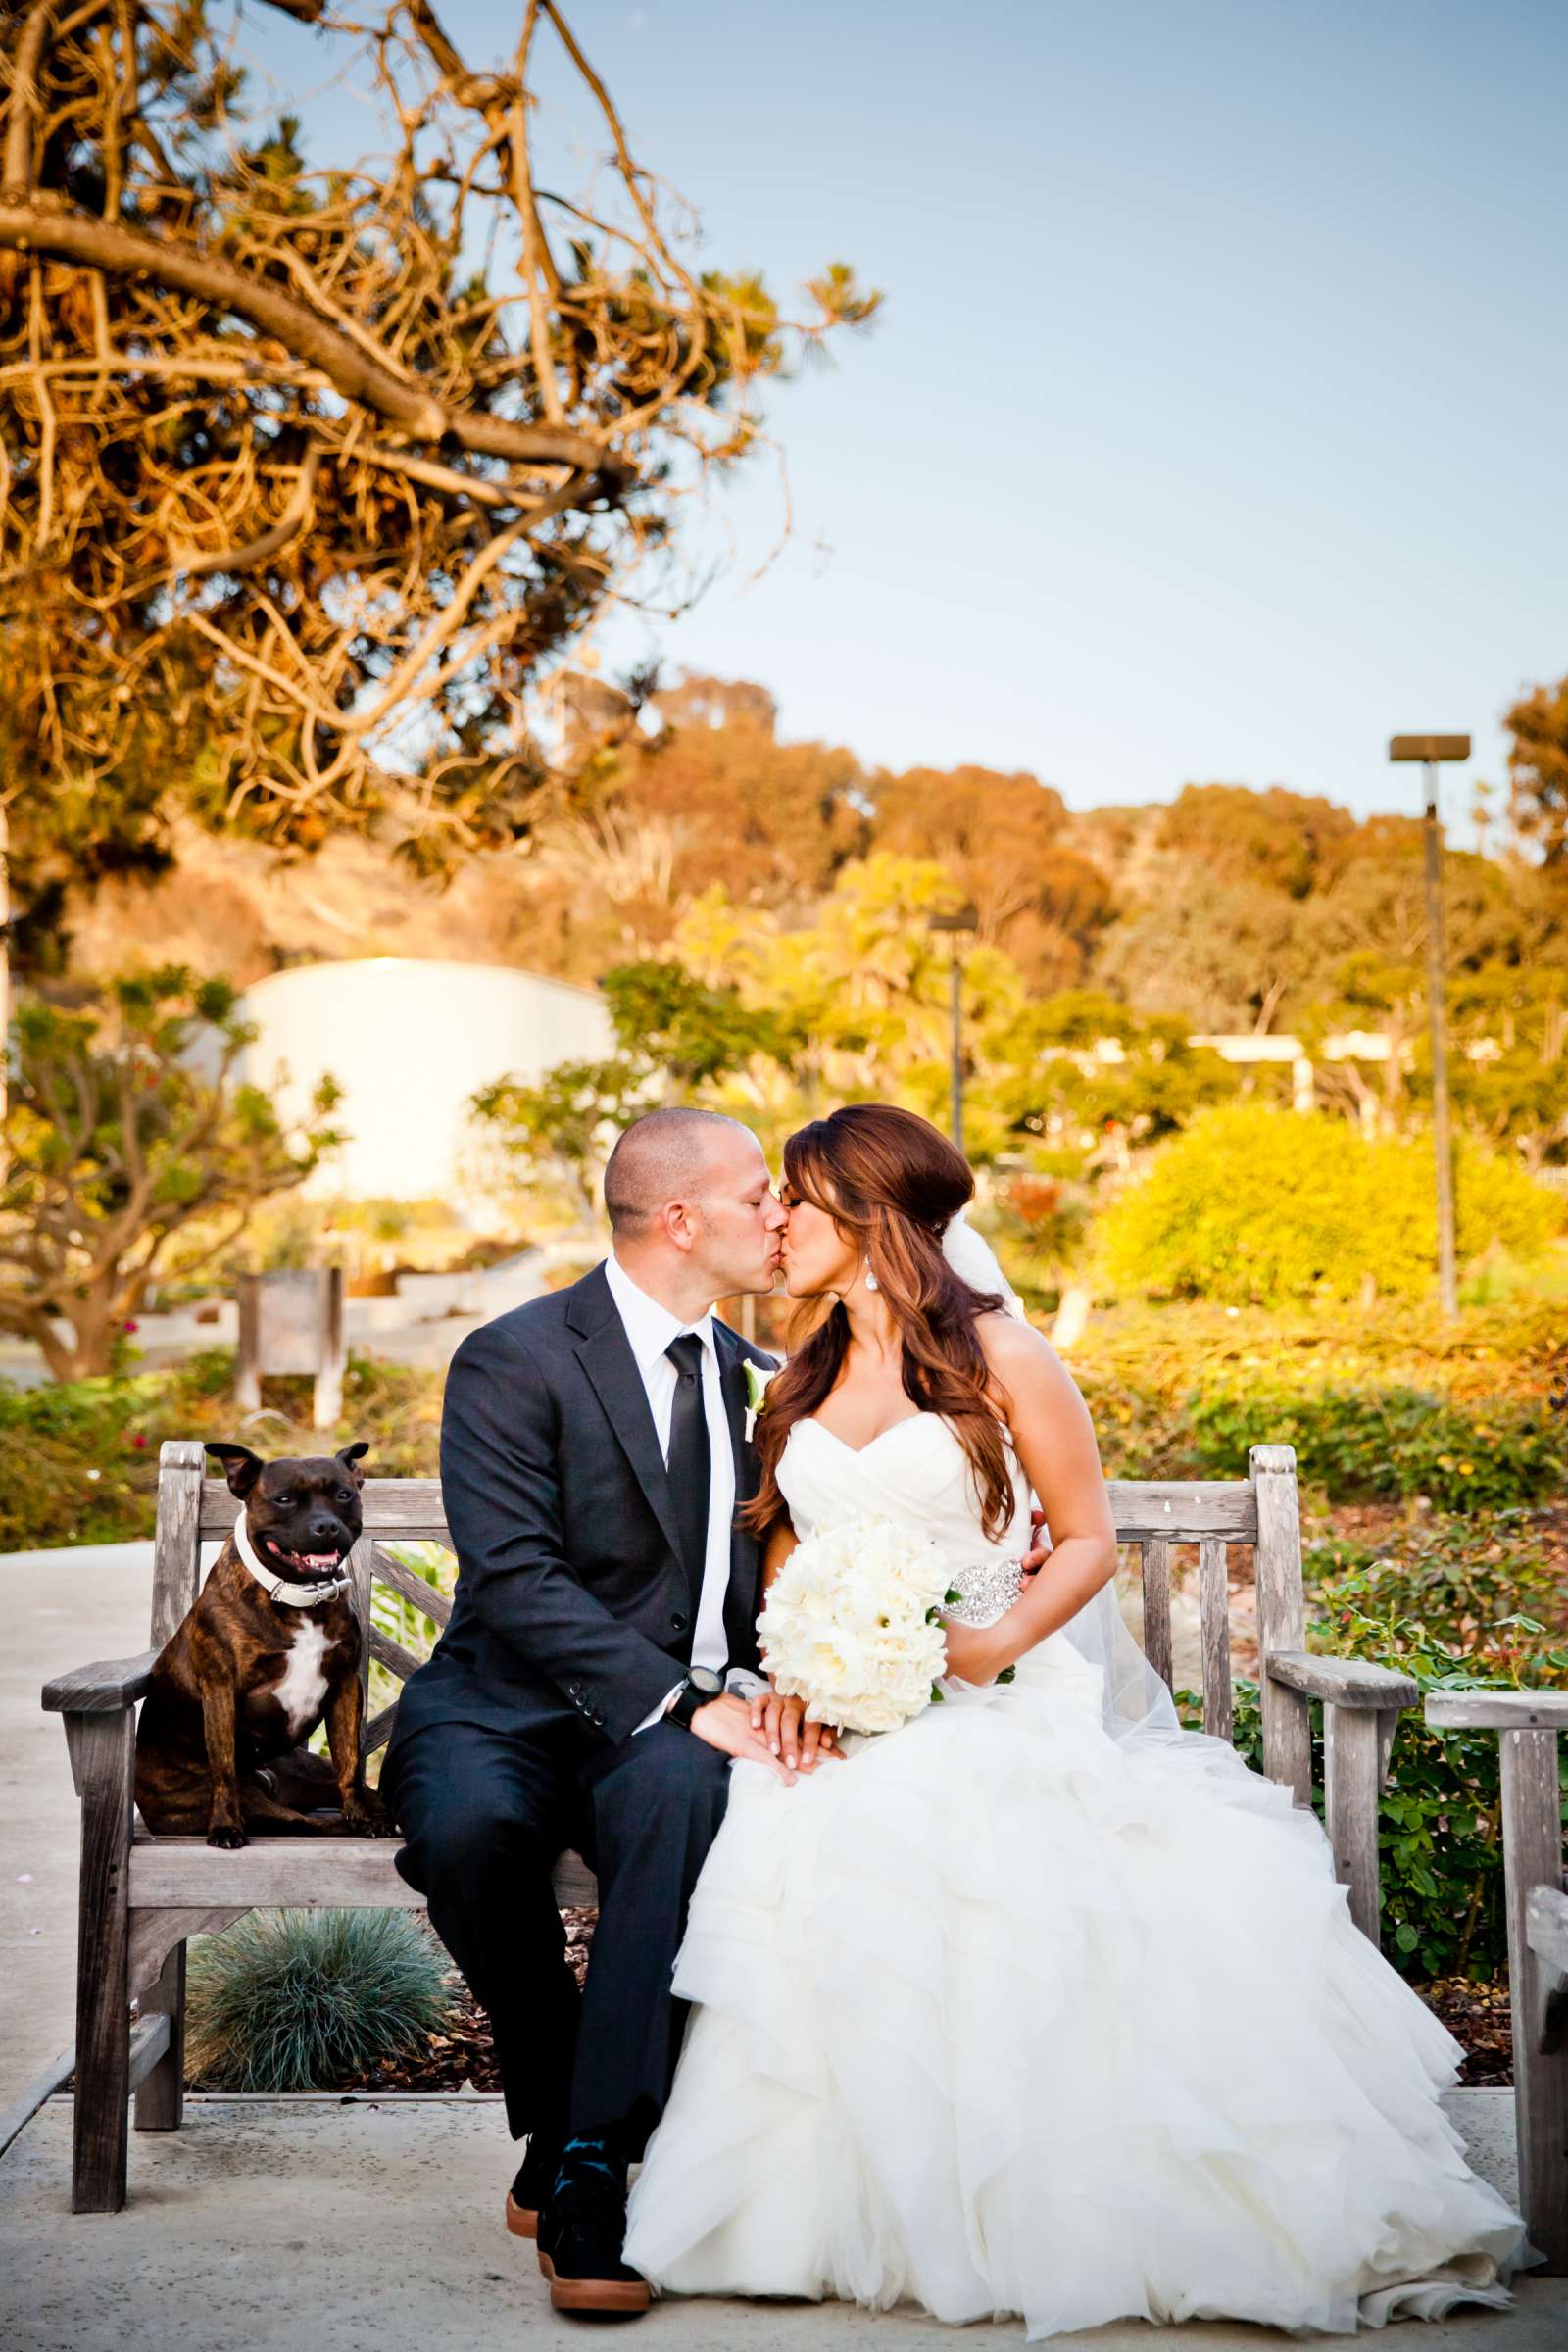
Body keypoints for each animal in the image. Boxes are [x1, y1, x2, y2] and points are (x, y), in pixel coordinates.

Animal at [136, 1439, 392, 1843]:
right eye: (284, 1499)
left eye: (344, 1494)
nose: (326, 1525)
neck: (300, 1598)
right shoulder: (221, 1690)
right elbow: (224, 1766)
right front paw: (226, 1826)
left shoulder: (345, 1688)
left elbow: (350, 1765)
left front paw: (361, 1817)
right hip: (246, 1800)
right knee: (302, 1822)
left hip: (306, 1772)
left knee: (361, 1794)